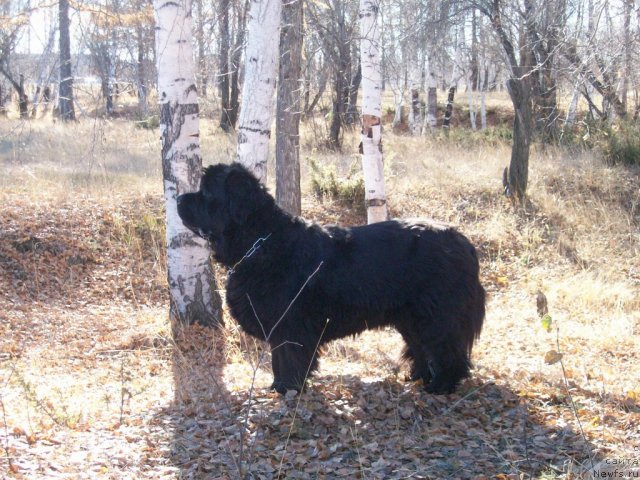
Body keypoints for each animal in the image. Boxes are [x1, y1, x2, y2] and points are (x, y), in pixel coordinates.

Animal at [176, 163, 484, 396]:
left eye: (206, 192)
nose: (178, 199)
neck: (261, 241)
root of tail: (465, 243)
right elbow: (278, 359)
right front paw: (277, 387)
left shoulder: (291, 325)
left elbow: (288, 359)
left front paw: (288, 389)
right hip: (409, 317)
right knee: (420, 347)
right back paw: (418, 376)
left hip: (436, 314)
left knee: (446, 348)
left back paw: (441, 385)